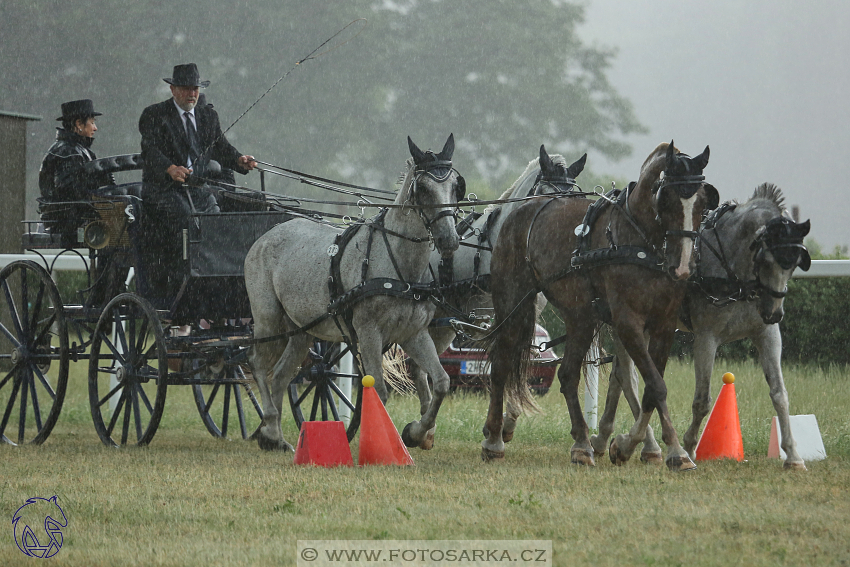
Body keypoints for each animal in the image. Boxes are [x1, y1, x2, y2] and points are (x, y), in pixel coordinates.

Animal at [242, 134, 460, 452]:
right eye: (423, 188)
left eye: (455, 185)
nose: (449, 240)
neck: (399, 268)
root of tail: (267, 236)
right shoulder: (368, 331)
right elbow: (379, 390)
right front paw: (381, 444)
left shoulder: (414, 334)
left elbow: (441, 382)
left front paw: (416, 433)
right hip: (268, 320)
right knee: (258, 363)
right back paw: (269, 428)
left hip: (302, 329)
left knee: (281, 375)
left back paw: (278, 438)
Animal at [402, 145, 584, 448]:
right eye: (543, 195)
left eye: (573, 200)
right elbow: (501, 363)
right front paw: (494, 431)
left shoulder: (524, 314)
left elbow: (520, 362)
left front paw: (506, 423)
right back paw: (422, 429)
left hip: (443, 324)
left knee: (422, 365)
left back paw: (426, 428)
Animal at [484, 144, 716, 472]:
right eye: (666, 197)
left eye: (703, 202)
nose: (682, 266)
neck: (640, 242)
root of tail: (520, 211)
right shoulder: (627, 322)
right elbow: (655, 385)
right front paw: (657, 448)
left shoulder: (663, 324)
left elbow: (650, 387)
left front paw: (659, 448)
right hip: (513, 306)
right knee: (501, 366)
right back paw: (494, 439)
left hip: (579, 316)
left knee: (568, 375)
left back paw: (582, 443)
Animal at [588, 183, 812, 470]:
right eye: (765, 259)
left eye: (795, 264)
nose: (774, 313)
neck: (733, 275)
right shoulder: (706, 338)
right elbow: (702, 401)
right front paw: (688, 446)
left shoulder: (768, 335)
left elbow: (779, 394)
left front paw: (793, 457)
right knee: (629, 377)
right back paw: (638, 444)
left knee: (620, 376)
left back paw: (607, 439)